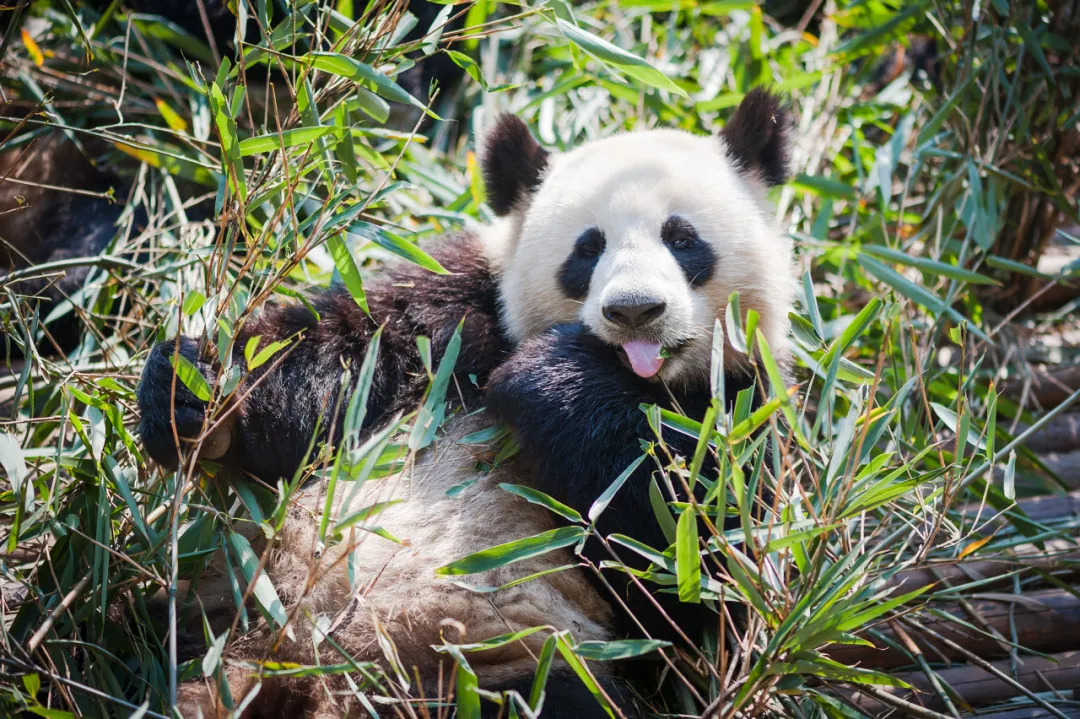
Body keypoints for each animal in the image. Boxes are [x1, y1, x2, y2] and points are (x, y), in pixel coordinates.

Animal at [135, 86, 799, 712]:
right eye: (587, 249)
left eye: (682, 239)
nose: (634, 310)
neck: (642, 379)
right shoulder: (454, 313)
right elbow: (340, 356)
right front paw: (197, 395)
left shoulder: (744, 411)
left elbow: (699, 574)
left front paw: (555, 375)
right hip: (227, 600)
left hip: (504, 667)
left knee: (558, 694)